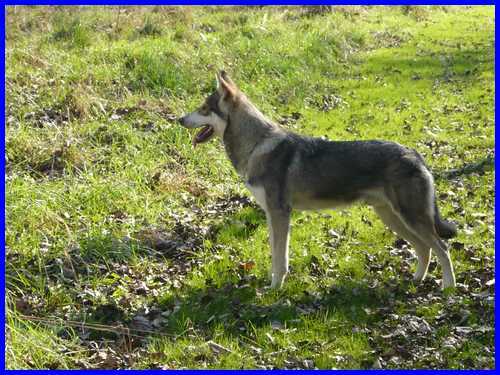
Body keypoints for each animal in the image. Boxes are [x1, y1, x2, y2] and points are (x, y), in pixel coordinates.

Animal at [179, 70, 458, 290]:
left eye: (203, 109)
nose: (178, 119)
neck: (256, 145)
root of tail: (415, 154)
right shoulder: (271, 215)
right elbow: (275, 254)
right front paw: (272, 283)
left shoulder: (280, 213)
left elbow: (280, 259)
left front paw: (274, 289)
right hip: (393, 218)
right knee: (424, 249)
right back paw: (417, 280)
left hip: (409, 218)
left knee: (442, 248)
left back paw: (448, 288)